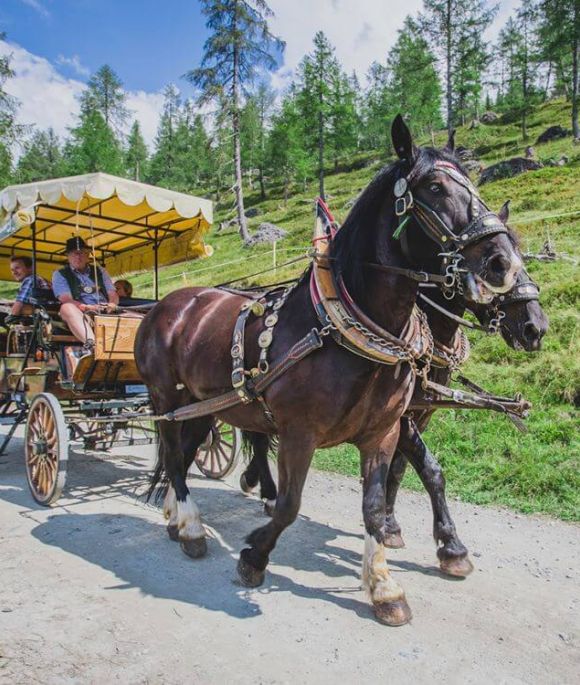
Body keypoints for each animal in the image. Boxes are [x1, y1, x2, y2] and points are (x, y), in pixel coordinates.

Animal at [135, 117, 520, 624]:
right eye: (435, 188)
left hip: (203, 406)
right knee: (175, 458)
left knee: (182, 453)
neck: (349, 330)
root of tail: (169, 303)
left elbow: (376, 505)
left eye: (473, 183)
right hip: (166, 398)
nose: (503, 262)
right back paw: (193, 527)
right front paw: (253, 557)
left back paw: (179, 519)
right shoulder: (299, 434)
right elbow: (289, 505)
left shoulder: (383, 432)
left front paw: (384, 586)